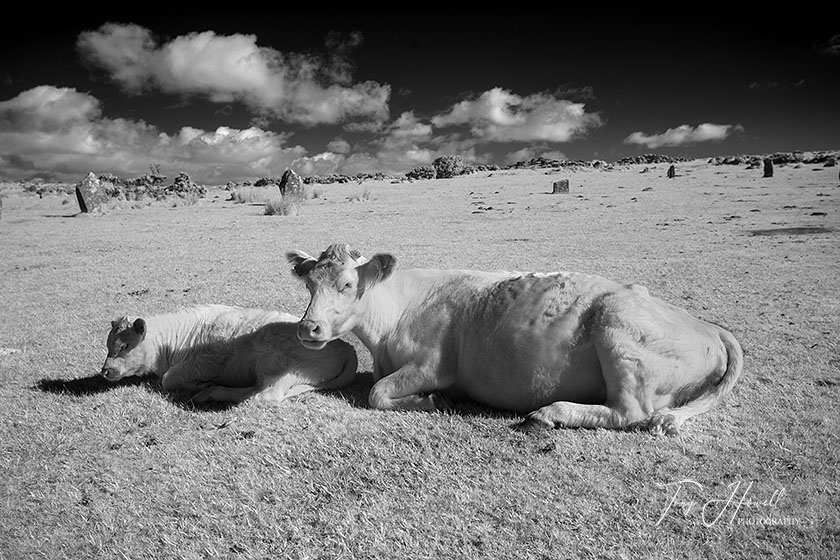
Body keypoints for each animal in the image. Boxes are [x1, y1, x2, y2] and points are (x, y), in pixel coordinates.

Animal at [101, 304, 358, 404]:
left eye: (123, 346)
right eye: (108, 345)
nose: (105, 371)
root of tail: (346, 348)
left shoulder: (205, 361)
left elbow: (168, 379)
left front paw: (200, 384)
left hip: (275, 367)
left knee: (263, 395)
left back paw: (210, 392)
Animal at [288, 243, 740, 436]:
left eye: (348, 284)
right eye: (309, 284)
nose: (308, 328)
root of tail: (707, 326)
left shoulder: (433, 365)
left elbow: (377, 392)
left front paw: (433, 401)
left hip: (619, 332)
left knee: (630, 412)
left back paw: (551, 412)